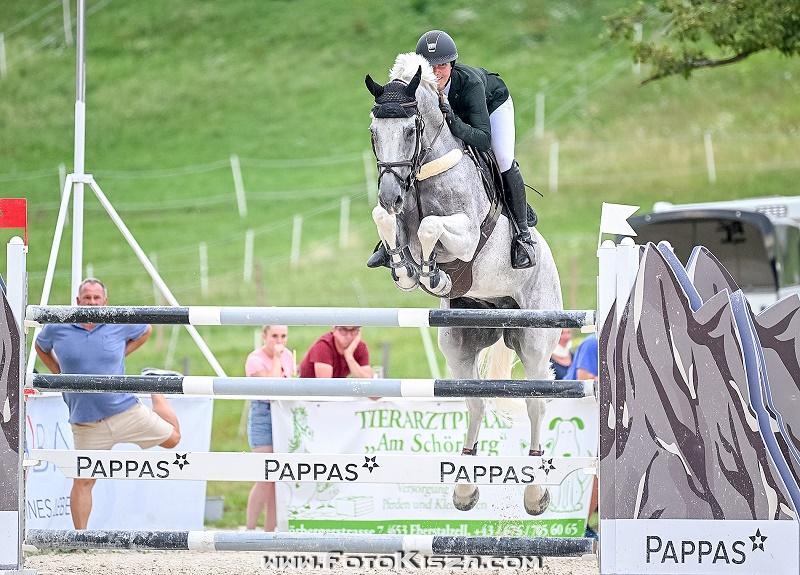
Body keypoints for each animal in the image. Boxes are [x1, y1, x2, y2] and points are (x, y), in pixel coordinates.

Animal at [366, 53, 560, 512]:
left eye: (411, 129)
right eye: (373, 133)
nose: (389, 194)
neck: (421, 173)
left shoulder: (467, 234)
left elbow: (431, 227)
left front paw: (432, 271)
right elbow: (392, 228)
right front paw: (406, 267)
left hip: (535, 340)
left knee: (536, 403)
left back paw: (535, 491)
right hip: (458, 341)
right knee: (475, 400)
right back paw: (465, 485)